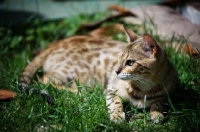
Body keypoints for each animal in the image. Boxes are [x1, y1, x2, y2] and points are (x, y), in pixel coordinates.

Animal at [19, 25, 178, 123]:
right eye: (119, 59)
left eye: (130, 62)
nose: (116, 71)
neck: (144, 87)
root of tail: (55, 44)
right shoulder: (111, 89)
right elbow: (115, 102)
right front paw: (116, 115)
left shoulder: (167, 93)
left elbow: (158, 102)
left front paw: (156, 113)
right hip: (73, 72)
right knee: (45, 79)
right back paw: (79, 91)